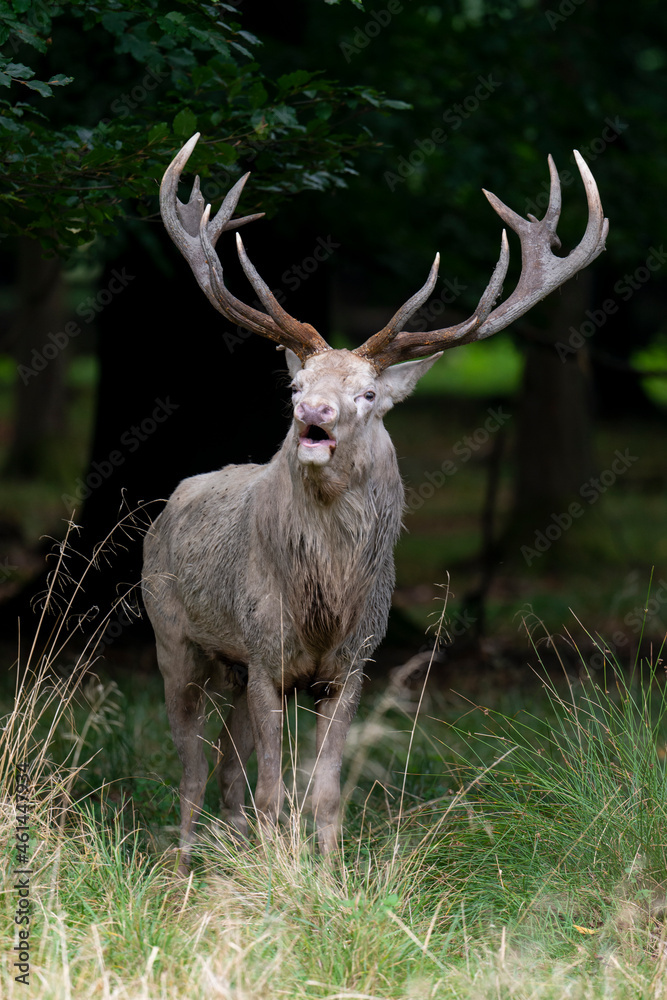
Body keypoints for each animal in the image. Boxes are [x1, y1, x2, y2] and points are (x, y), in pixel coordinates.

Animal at [142, 133, 607, 872]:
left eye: (367, 393)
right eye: (296, 383)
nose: (313, 412)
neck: (325, 600)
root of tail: (166, 507)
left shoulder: (355, 661)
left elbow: (327, 790)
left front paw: (328, 876)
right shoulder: (267, 651)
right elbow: (275, 789)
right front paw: (281, 877)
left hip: (232, 664)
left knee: (225, 767)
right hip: (173, 633)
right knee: (189, 765)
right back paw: (186, 869)